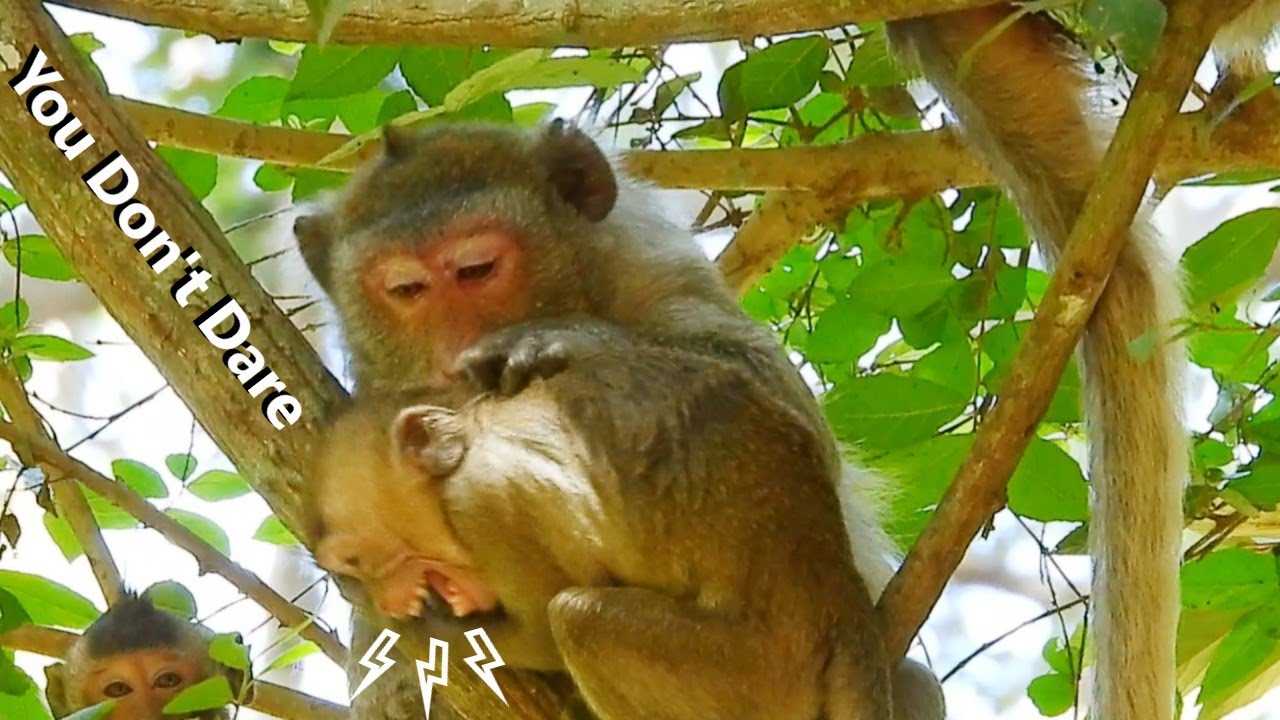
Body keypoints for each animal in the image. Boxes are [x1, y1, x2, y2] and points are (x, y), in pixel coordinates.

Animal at [293, 122, 945, 718]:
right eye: (406, 289)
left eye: (477, 269)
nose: (455, 351)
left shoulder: (659, 276)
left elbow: (792, 419)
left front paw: (556, 339)